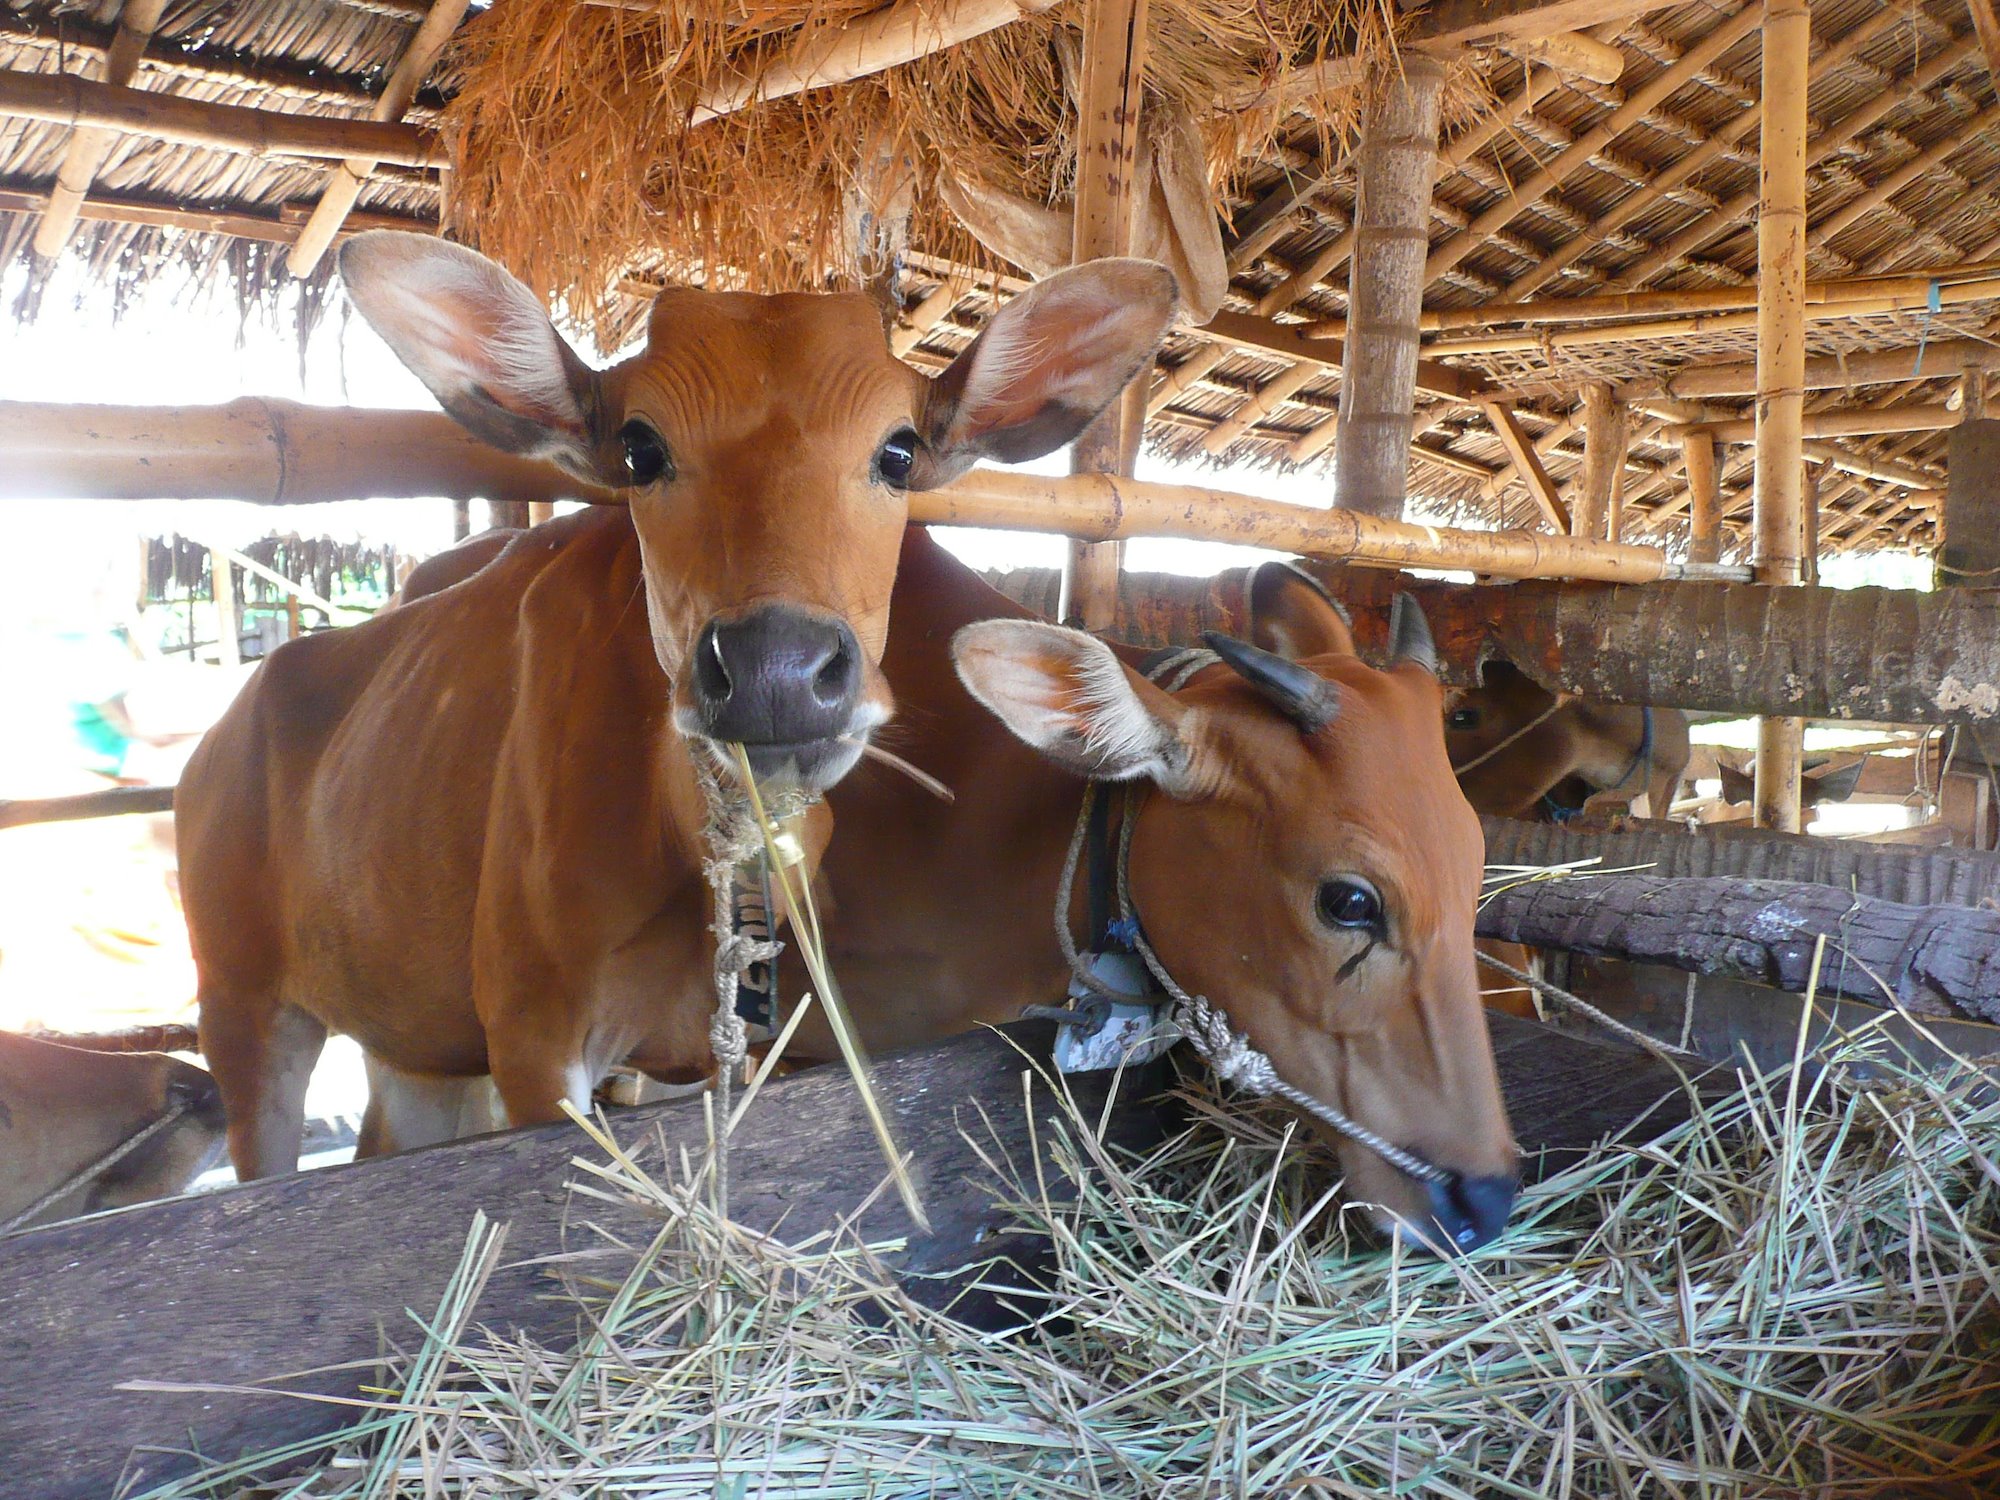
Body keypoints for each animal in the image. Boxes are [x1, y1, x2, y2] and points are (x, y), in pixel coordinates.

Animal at [180, 229, 1176, 1184]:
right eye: (641, 449)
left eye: (899, 451)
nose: (775, 671)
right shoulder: (534, 1040)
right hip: (241, 1009)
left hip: (411, 1041)